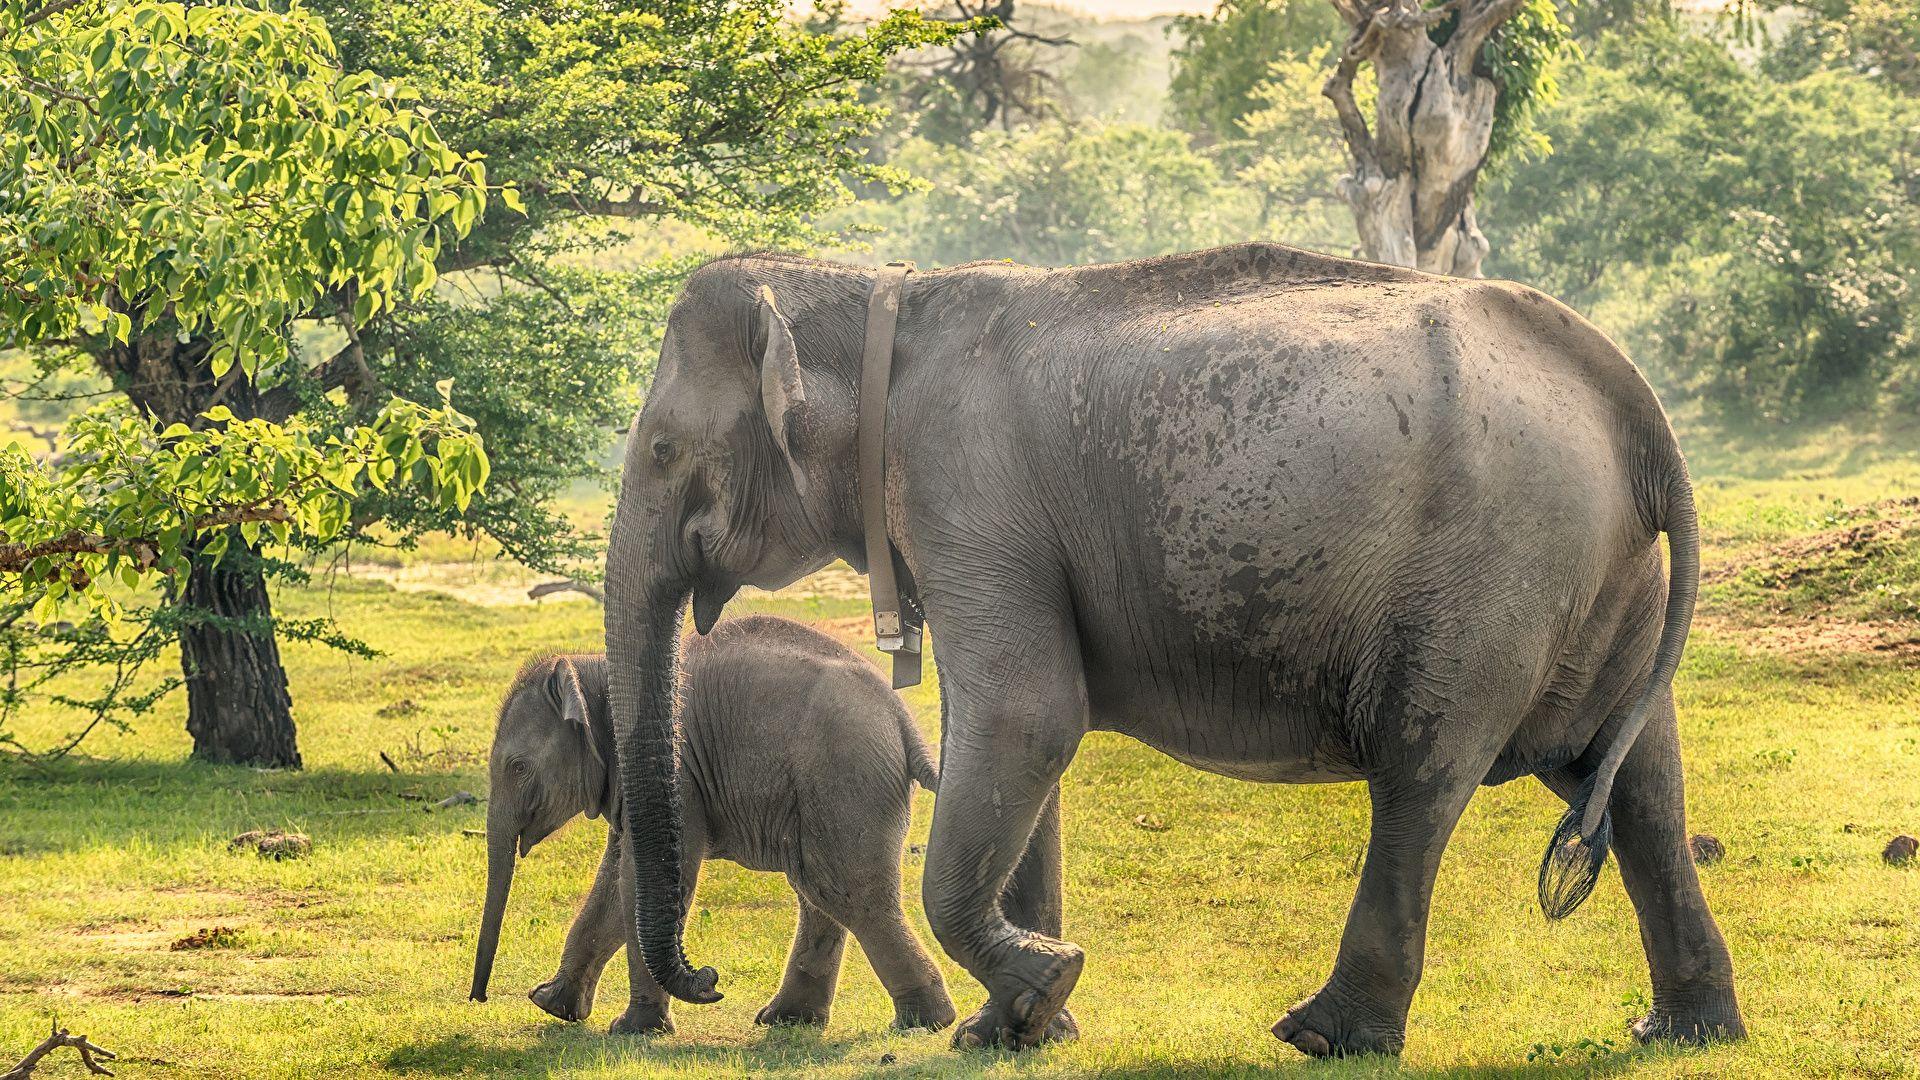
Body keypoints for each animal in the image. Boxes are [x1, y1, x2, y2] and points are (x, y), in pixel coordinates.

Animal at [468, 614, 954, 1035]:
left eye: (517, 768)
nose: (478, 999)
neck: (596, 671)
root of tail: (904, 721)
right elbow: (615, 881)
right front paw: (552, 1005)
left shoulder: (677, 779)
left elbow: (639, 879)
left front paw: (633, 1030)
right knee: (819, 888)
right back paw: (788, 1020)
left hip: (844, 777)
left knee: (850, 892)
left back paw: (925, 1022)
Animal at [602, 241, 1747, 1057]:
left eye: (660, 448)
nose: (707, 982)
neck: (878, 288)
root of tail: (1633, 405)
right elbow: (1013, 739)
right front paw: (1017, 1030)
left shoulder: (966, 494)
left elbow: (1026, 717)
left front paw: (1046, 983)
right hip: (1603, 580)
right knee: (1639, 783)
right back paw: (1684, 1031)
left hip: (1491, 574)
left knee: (1423, 776)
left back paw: (1323, 1035)